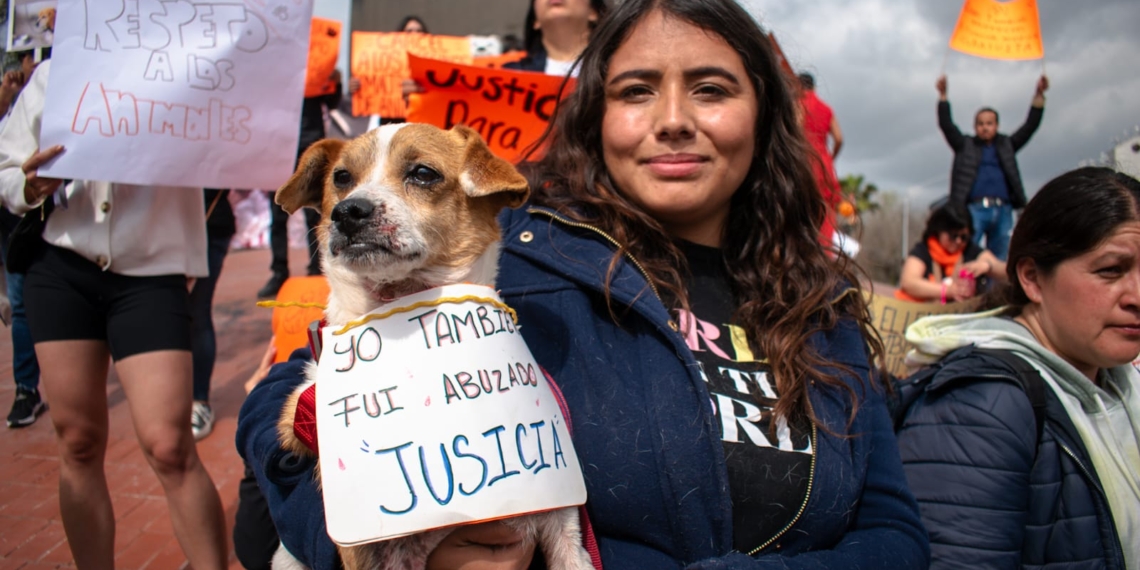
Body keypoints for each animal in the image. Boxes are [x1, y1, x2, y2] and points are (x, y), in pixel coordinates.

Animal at [270, 124, 592, 570]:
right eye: (341, 178)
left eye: (423, 173)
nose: (348, 211)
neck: (402, 304)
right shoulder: (372, 552)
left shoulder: (560, 516)